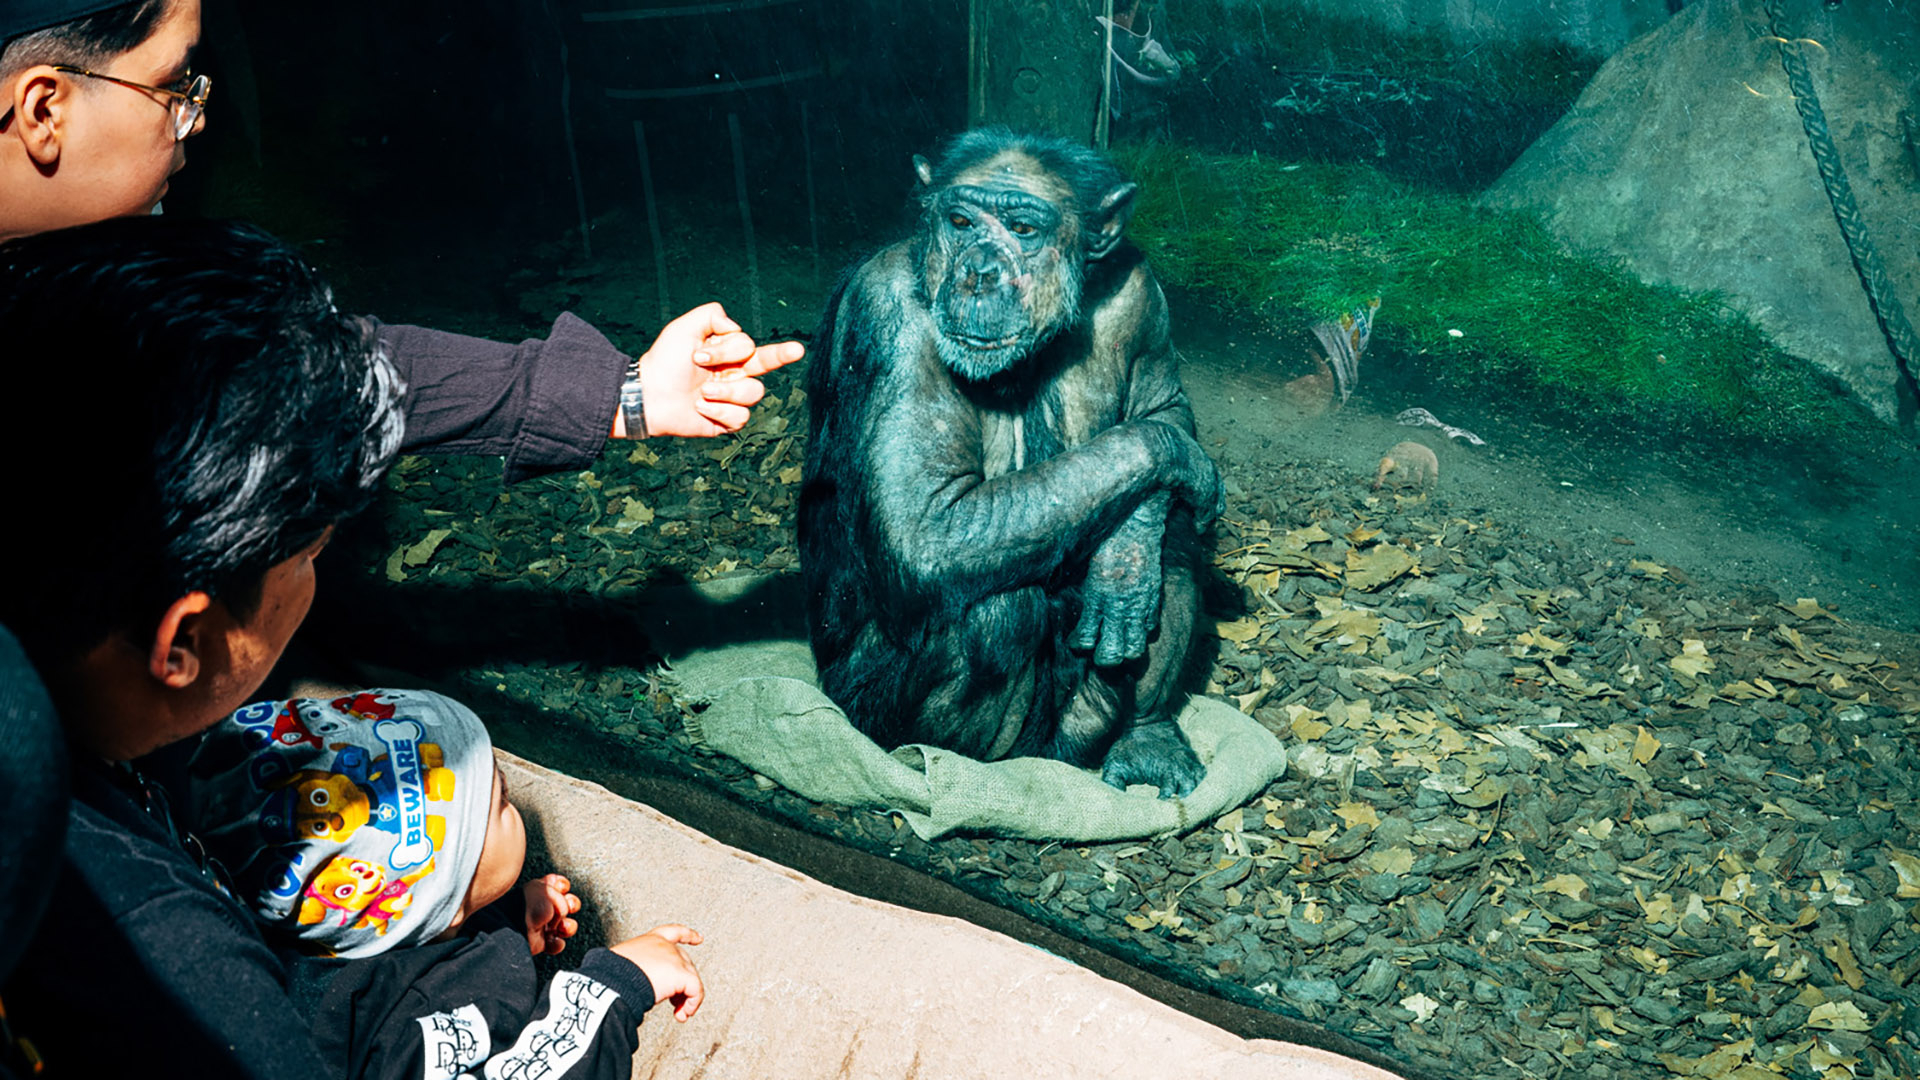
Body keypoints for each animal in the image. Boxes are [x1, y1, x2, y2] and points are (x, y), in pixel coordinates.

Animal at [798, 127, 1221, 799]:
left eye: (1022, 228)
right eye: (961, 221)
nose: (978, 271)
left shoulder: (1140, 292)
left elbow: (1164, 407)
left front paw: (1126, 556)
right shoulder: (888, 314)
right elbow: (926, 529)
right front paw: (1171, 457)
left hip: (1076, 734)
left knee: (1177, 540)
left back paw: (1145, 735)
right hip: (862, 708)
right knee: (995, 610)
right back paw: (965, 772)